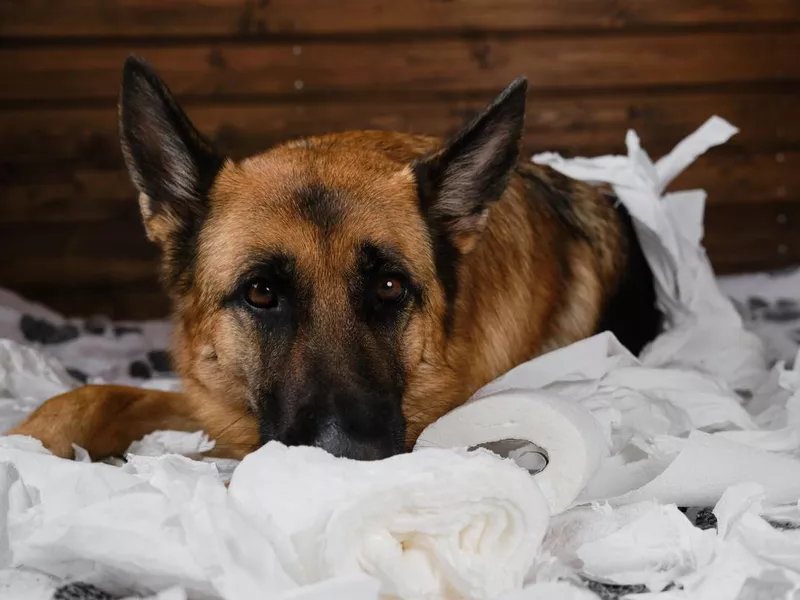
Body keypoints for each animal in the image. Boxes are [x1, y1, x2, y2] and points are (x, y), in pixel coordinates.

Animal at [9, 57, 664, 460]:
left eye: (391, 287)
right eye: (261, 292)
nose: (348, 456)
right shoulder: (216, 402)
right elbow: (96, 392)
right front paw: (29, 439)